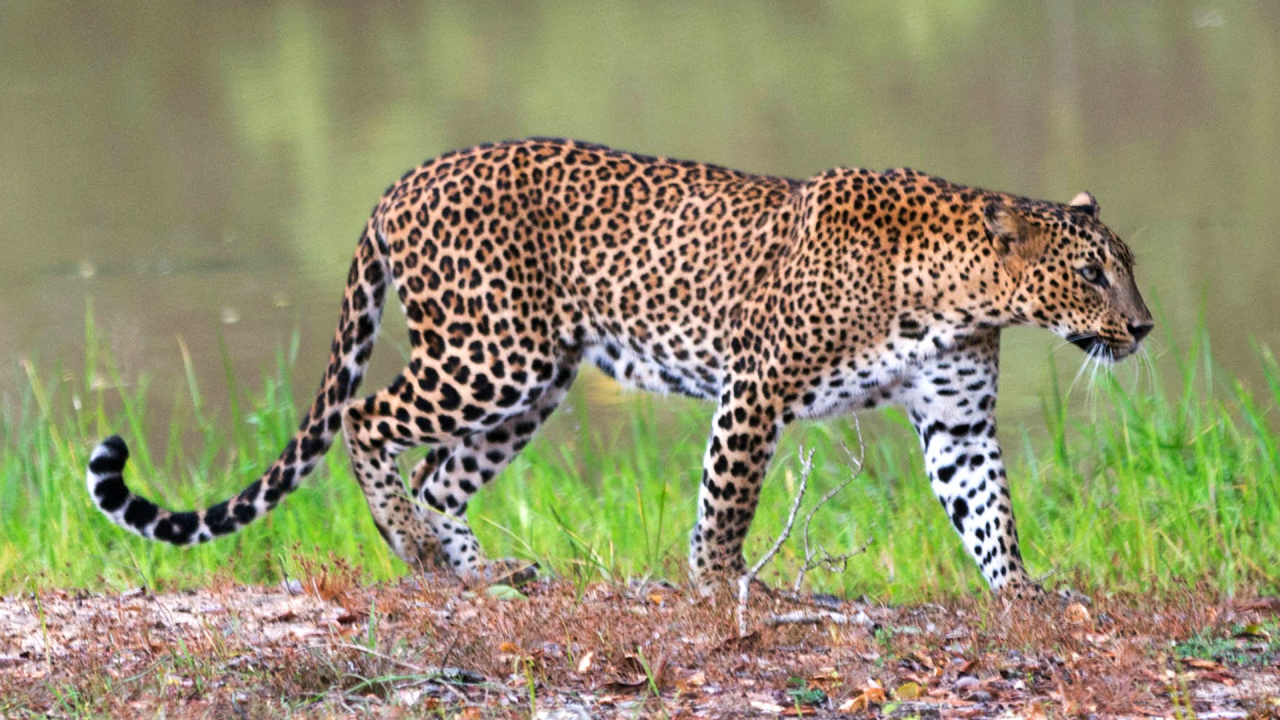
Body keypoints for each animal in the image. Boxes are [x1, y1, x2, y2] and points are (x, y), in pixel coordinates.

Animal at [86, 138, 1152, 595]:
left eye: (1127, 266)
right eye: (1092, 272)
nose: (1144, 328)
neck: (959, 295)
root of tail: (399, 181)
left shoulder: (957, 419)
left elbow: (989, 513)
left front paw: (1023, 596)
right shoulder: (757, 387)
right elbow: (727, 500)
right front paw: (721, 587)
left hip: (537, 380)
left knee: (441, 474)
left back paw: (482, 570)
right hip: (492, 354)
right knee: (368, 418)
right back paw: (415, 550)